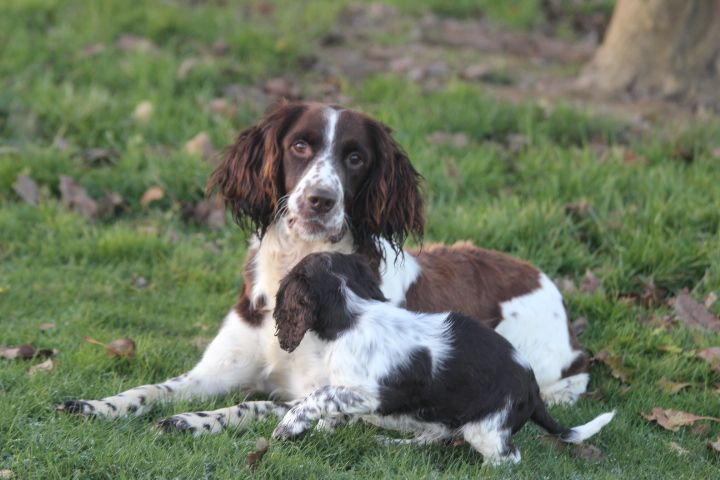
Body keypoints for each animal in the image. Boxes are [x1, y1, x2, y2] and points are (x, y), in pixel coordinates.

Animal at [62, 102, 588, 436]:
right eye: (299, 146)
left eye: (355, 157)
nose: (320, 200)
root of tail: (542, 279)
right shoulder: (215, 370)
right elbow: (154, 388)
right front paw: (98, 404)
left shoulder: (348, 396)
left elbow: (257, 404)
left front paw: (194, 421)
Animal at [270, 251, 612, 464]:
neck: (351, 310)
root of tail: (533, 389)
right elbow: (331, 408)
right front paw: (322, 431)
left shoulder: (371, 393)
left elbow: (319, 395)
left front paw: (289, 426)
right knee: (436, 435)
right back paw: (397, 445)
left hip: (486, 427)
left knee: (508, 457)